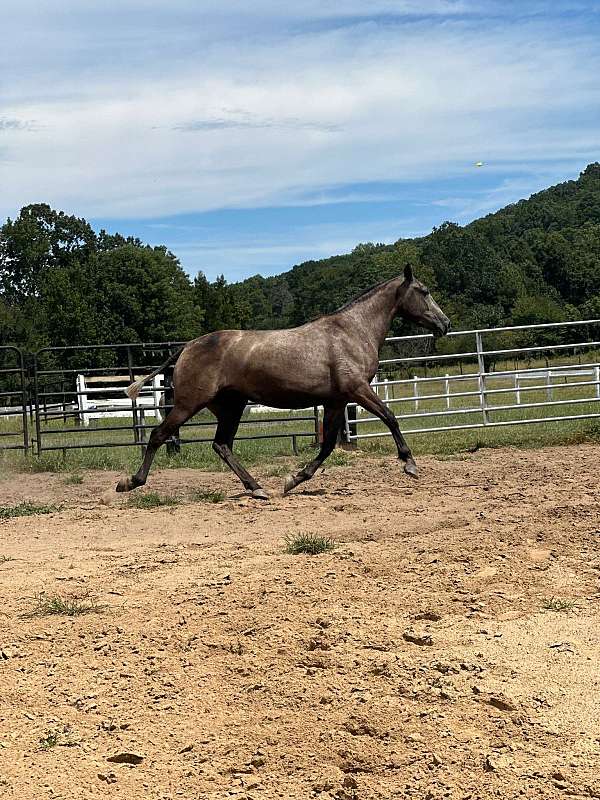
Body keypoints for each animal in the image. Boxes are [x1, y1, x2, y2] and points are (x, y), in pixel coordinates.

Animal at [116, 266, 450, 496]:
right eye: (424, 291)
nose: (445, 323)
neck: (351, 332)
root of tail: (188, 346)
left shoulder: (335, 401)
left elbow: (327, 445)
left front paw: (294, 480)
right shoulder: (357, 390)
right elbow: (390, 417)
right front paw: (409, 464)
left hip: (230, 407)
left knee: (221, 445)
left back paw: (257, 488)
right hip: (190, 404)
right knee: (159, 435)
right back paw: (130, 483)